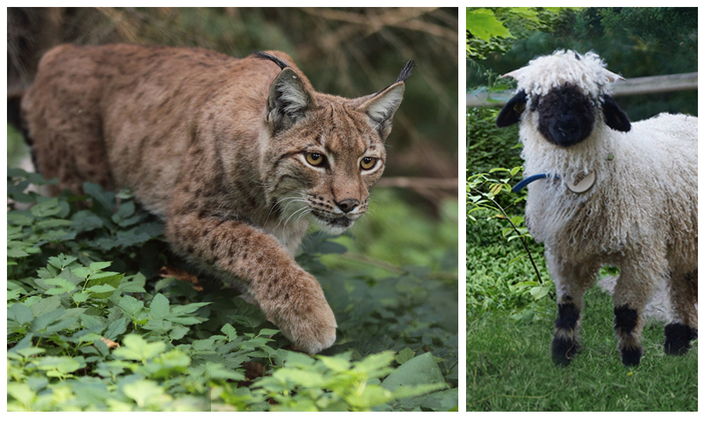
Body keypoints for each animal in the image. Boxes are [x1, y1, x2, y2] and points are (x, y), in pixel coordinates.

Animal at [496, 48, 700, 364]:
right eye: (538, 99)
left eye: (591, 100)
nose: (566, 127)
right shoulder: (564, 253)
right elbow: (568, 306)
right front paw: (562, 355)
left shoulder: (641, 253)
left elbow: (626, 311)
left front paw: (631, 359)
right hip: (682, 237)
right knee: (683, 283)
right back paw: (678, 342)